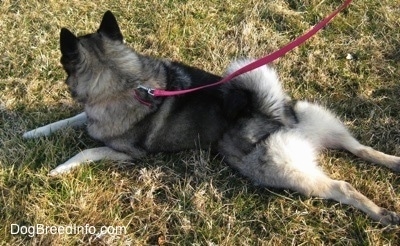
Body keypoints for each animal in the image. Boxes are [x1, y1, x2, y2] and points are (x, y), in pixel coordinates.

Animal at [25, 10, 400, 226]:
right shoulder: (89, 115)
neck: (124, 79)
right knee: (360, 149)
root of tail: (273, 114)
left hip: (280, 171)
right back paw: (394, 163)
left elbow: (86, 149)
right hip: (318, 120)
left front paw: (59, 168)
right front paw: (33, 133)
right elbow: (68, 120)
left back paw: (381, 214)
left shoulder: (127, 154)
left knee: (341, 186)